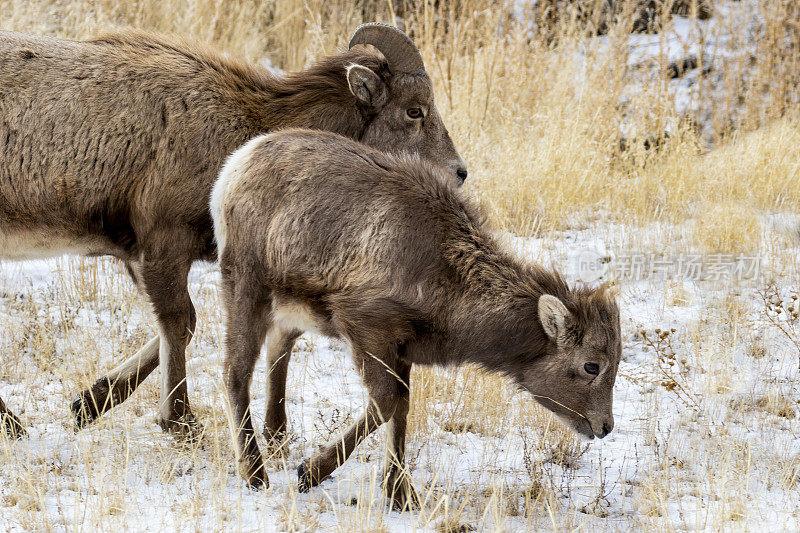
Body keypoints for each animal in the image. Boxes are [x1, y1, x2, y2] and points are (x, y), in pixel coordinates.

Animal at [0, 22, 468, 438]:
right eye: (414, 110)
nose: (459, 173)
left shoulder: (143, 256)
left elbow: (176, 328)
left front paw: (89, 403)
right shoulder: (163, 247)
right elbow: (179, 323)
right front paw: (180, 423)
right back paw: (13, 426)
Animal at [211, 129, 620, 508]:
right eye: (591, 365)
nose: (604, 426)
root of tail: (232, 169)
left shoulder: (402, 348)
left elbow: (402, 411)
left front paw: (401, 495)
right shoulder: (363, 325)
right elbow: (386, 402)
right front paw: (310, 472)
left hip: (287, 310)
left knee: (275, 352)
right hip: (245, 284)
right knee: (234, 371)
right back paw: (255, 474)